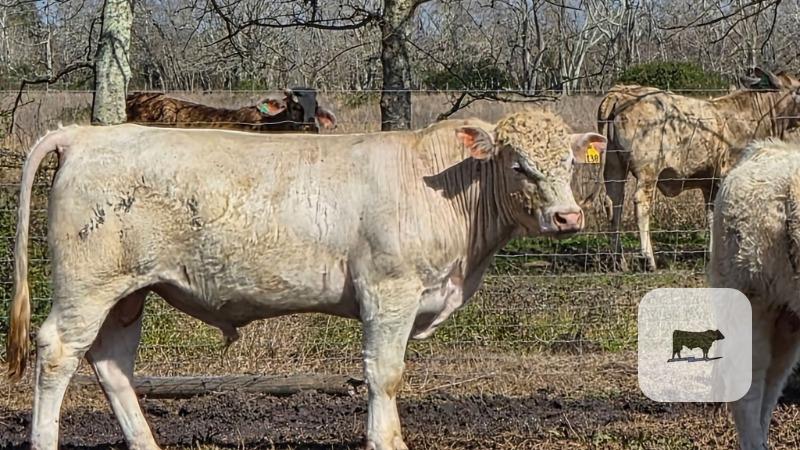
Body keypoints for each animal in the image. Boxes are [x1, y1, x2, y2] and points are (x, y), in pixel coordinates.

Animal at [6, 110, 606, 450]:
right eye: (518, 165)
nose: (568, 217)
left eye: (569, 164)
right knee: (58, 351)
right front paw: (386, 441)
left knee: (111, 364)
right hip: (88, 285)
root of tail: (84, 134)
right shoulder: (389, 290)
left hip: (129, 293)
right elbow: (385, 374)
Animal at [597, 68, 800, 271]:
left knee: (614, 203)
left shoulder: (709, 183)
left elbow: (712, 216)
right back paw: (648, 260)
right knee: (641, 204)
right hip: (648, 171)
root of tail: (620, 92)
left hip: (613, 166)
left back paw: (619, 261)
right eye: (798, 89)